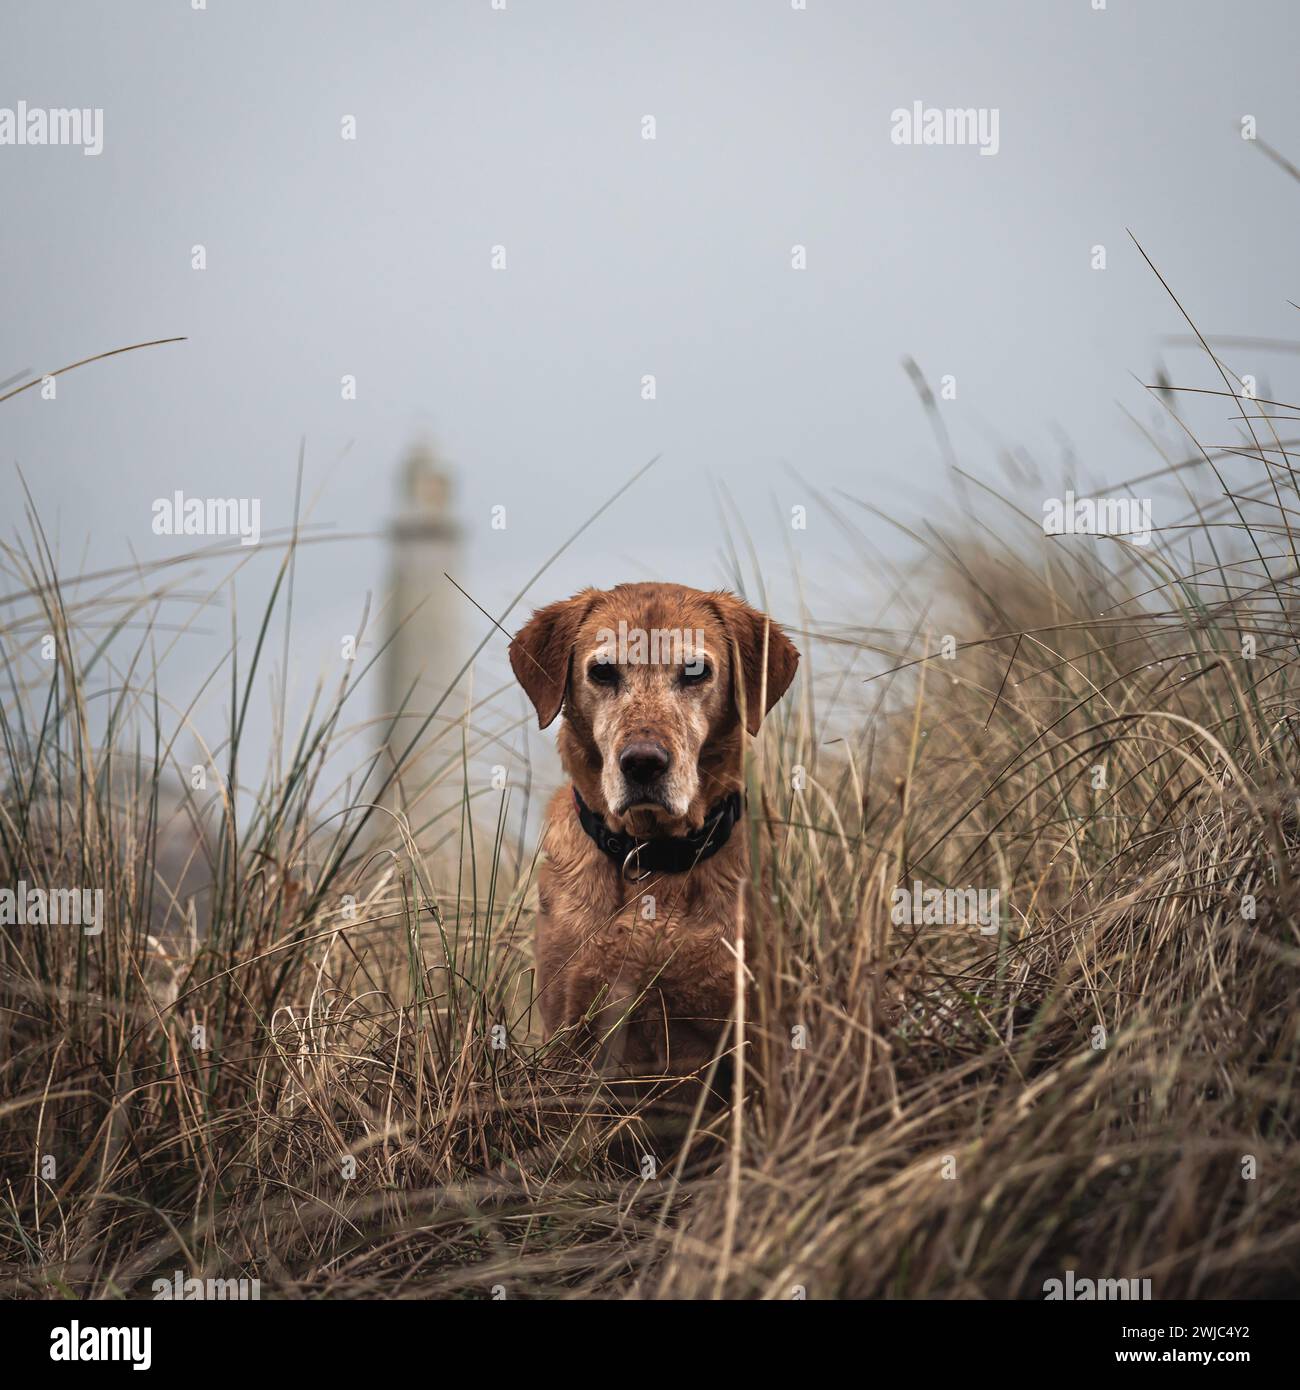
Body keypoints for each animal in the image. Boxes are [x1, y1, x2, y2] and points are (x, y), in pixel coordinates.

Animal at [511, 581, 800, 1089]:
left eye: (695, 671)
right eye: (603, 671)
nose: (643, 762)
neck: (655, 857)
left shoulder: (751, 1041)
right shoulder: (567, 1038)